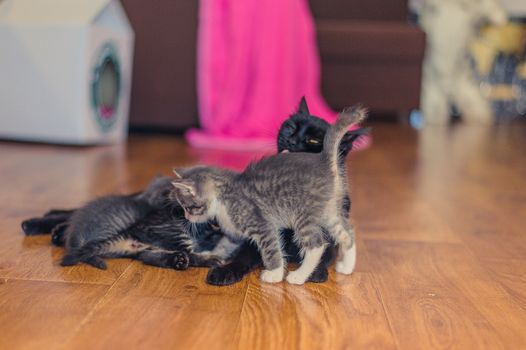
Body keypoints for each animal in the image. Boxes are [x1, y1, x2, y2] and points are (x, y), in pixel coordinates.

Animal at [172, 106, 368, 284]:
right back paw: (346, 267)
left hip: (303, 215)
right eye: (290, 127)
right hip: (328, 213)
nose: (186, 217)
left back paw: (298, 276)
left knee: (317, 245)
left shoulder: (262, 225)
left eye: (188, 207)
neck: (223, 197)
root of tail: (324, 160)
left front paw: (274, 274)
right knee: (347, 235)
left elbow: (271, 250)